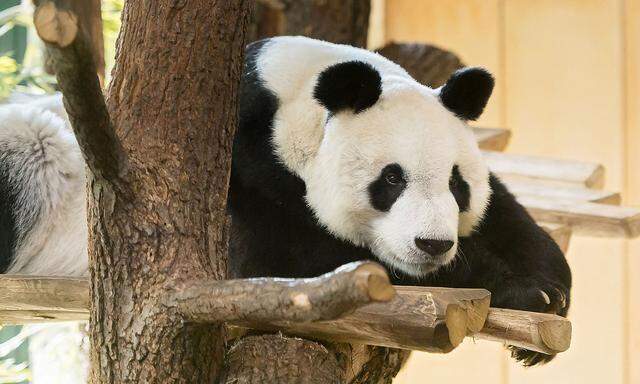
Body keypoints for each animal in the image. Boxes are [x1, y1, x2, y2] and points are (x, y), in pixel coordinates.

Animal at [0, 36, 568, 366]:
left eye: (456, 184)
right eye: (390, 180)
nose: (432, 245)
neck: (294, 100)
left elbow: (507, 214)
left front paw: (548, 292)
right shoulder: (239, 166)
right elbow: (294, 261)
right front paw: (517, 289)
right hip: (34, 157)